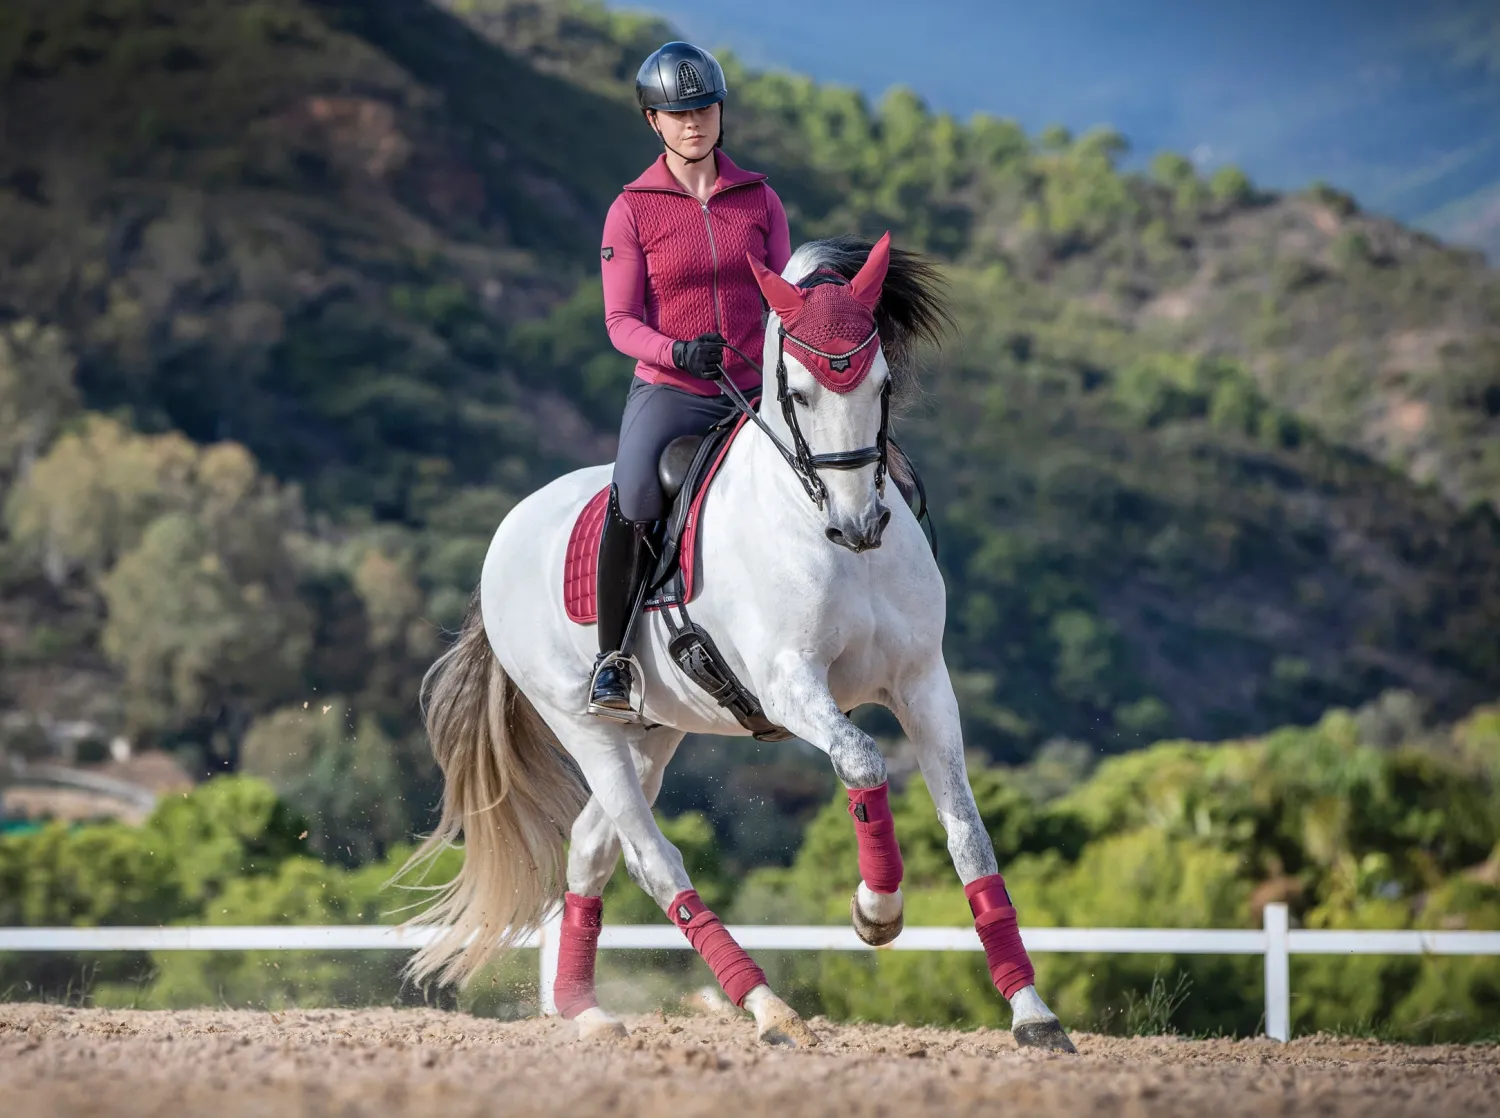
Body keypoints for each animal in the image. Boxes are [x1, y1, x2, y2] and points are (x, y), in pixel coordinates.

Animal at [398, 232, 1077, 1052]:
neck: (822, 529)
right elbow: (863, 760)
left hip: (655, 731)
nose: (860, 525)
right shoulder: (791, 686)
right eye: (801, 393)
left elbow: (970, 837)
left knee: (592, 848)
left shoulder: (922, 685)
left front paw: (1033, 1013)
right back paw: (767, 1007)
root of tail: (509, 531)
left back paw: (584, 1010)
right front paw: (876, 911)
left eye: (881, 383)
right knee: (653, 859)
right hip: (584, 725)